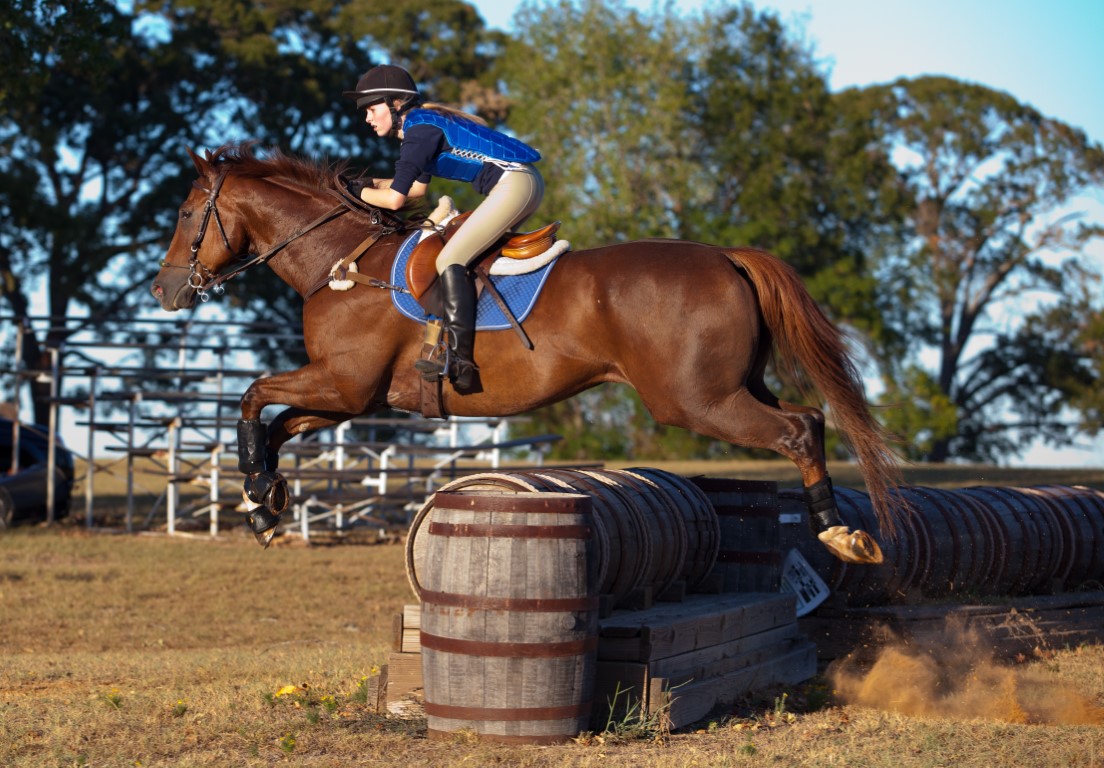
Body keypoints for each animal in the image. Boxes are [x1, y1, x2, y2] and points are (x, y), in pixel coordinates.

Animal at [149, 145, 905, 564]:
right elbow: (275, 424)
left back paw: (840, 534)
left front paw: (258, 494)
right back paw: (841, 529)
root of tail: (724, 255)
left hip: (696, 400)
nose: (163, 289)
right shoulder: (350, 397)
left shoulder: (342, 385)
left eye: (186, 215)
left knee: (798, 429)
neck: (341, 261)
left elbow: (251, 397)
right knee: (809, 418)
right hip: (733, 386)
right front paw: (265, 500)